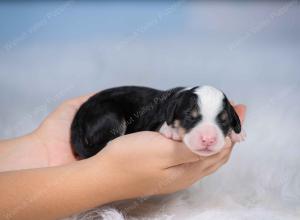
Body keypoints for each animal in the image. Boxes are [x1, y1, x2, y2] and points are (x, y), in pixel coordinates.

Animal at [71, 85, 245, 159]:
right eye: (189, 116)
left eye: (223, 121)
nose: (208, 139)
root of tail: (79, 116)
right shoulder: (152, 122)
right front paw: (172, 131)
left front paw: (237, 133)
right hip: (110, 117)